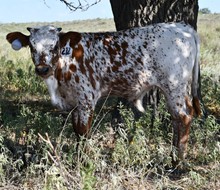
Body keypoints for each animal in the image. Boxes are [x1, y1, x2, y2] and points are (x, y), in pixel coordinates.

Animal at [6, 21, 200, 159]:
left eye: (55, 46)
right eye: (32, 46)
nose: (42, 69)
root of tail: (182, 27)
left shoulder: (86, 99)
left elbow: (83, 131)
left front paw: (83, 161)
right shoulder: (75, 102)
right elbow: (76, 131)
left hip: (174, 85)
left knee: (183, 117)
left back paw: (177, 162)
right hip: (177, 89)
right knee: (179, 117)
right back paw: (173, 155)